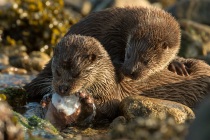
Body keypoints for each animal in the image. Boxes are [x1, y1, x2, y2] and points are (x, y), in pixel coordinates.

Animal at [25, 34, 210, 127]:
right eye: (56, 71)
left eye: (77, 73)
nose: (62, 88)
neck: (107, 82)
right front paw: (46, 99)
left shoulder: (111, 95)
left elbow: (110, 108)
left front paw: (87, 102)